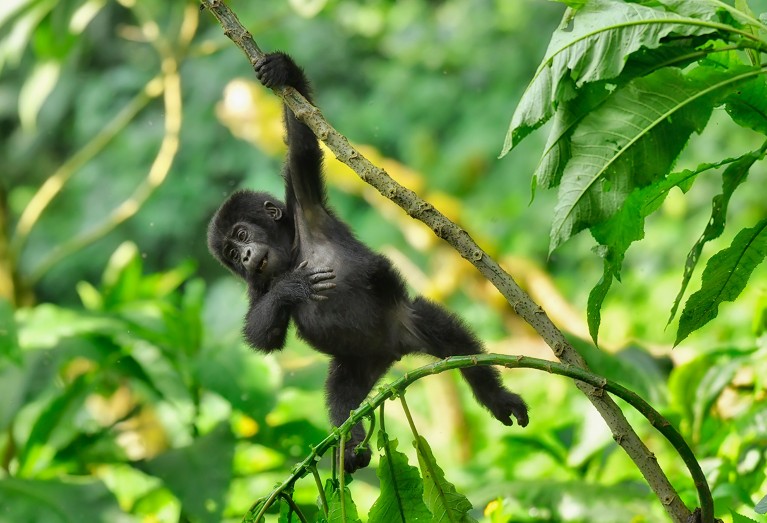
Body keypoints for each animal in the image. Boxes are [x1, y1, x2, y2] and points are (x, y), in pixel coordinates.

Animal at [208, 51, 528, 473]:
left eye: (242, 235)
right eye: (230, 254)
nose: (244, 256)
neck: (292, 251)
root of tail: (390, 351)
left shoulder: (307, 208)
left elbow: (303, 148)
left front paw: (282, 70)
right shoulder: (257, 286)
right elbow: (262, 335)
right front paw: (291, 288)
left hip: (404, 321)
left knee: (446, 334)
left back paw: (494, 395)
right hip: (356, 363)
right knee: (341, 397)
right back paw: (350, 444)